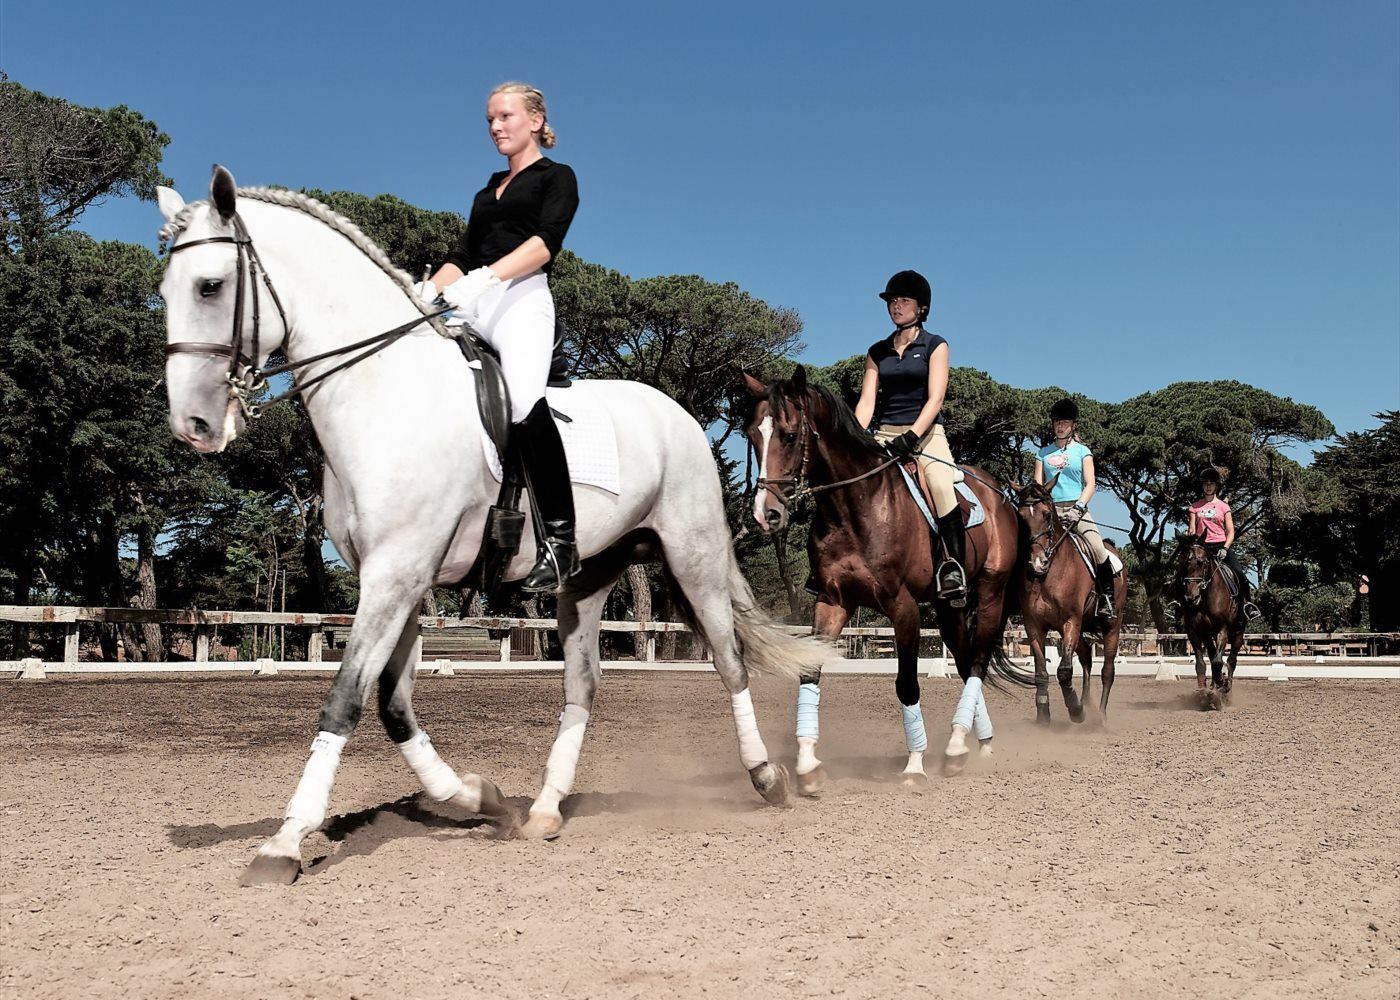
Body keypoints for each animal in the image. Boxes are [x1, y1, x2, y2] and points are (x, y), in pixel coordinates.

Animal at [158, 167, 829, 885]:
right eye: (164, 289)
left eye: (209, 286)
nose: (193, 426)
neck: (383, 394)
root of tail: (675, 412)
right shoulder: (398, 579)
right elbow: (393, 704)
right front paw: (479, 799)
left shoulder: (396, 575)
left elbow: (345, 697)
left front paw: (283, 843)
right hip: (586, 580)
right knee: (582, 683)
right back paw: (545, 810)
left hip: (693, 555)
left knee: (730, 662)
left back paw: (767, 779)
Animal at [743, 367, 1033, 785]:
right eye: (752, 435)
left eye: (789, 435)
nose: (766, 514)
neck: (856, 505)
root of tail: (1001, 496)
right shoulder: (832, 602)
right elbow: (809, 672)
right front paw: (808, 765)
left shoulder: (902, 606)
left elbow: (907, 684)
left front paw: (914, 765)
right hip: (949, 609)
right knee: (964, 662)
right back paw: (976, 745)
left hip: (991, 592)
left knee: (977, 661)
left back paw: (956, 745)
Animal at [1010, 478, 1127, 724]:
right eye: (1021, 517)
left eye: (1046, 515)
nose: (1036, 563)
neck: (1049, 573)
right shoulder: (1034, 625)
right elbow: (1041, 671)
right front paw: (1043, 716)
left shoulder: (1070, 621)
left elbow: (1064, 671)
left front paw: (1075, 710)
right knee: (1086, 658)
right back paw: (1087, 703)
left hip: (1112, 625)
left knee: (1107, 671)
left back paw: (1100, 716)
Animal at [1176, 539, 1243, 710]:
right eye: (1182, 562)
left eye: (1203, 562)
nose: (1191, 597)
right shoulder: (1194, 631)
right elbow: (1201, 663)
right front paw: (1203, 692)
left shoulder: (1222, 629)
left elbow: (1219, 661)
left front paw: (1222, 685)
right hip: (1208, 634)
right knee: (1213, 656)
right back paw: (1214, 687)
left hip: (1238, 633)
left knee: (1231, 660)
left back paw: (1226, 689)